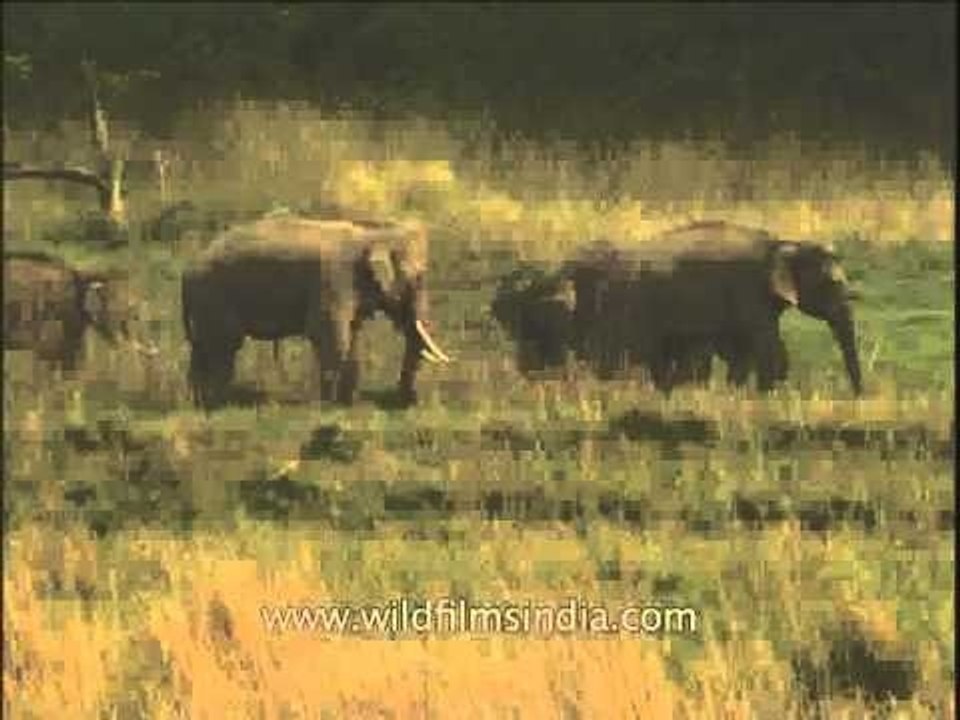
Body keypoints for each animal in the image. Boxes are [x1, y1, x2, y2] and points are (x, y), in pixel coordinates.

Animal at [180, 214, 451, 410]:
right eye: (418, 279)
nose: (410, 402)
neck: (372, 234)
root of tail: (188, 271)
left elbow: (352, 336)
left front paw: (348, 404)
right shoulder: (334, 281)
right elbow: (333, 337)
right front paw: (329, 406)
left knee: (202, 347)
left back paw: (197, 403)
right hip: (215, 297)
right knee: (223, 347)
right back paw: (218, 404)